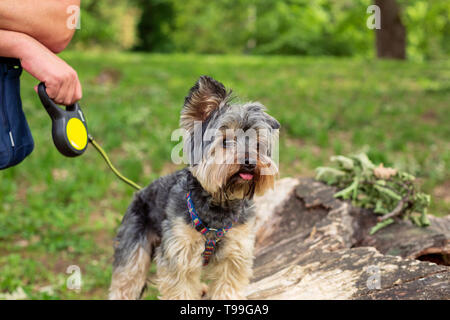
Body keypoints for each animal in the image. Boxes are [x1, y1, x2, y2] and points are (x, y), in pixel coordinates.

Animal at [108, 75, 278, 300]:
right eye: (225, 141)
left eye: (257, 145)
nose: (250, 162)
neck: (219, 203)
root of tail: (139, 192)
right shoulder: (180, 250)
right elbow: (181, 286)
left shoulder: (236, 249)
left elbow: (227, 285)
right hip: (134, 237)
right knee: (127, 278)